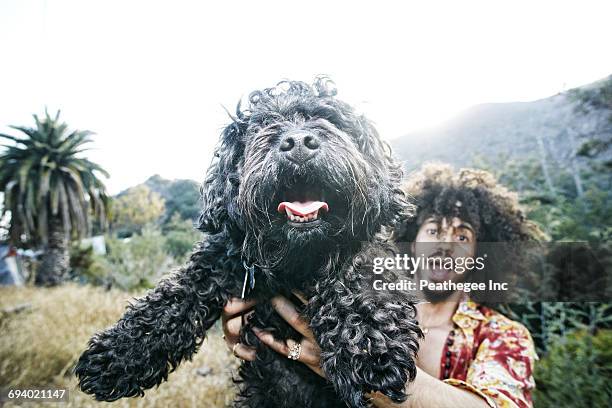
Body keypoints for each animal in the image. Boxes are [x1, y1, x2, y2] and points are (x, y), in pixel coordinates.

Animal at [75, 78, 420, 406]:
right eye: (264, 124)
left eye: (328, 118)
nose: (297, 142)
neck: (296, 259)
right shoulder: (222, 258)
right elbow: (174, 296)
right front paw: (119, 353)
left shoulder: (365, 247)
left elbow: (359, 273)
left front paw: (370, 344)